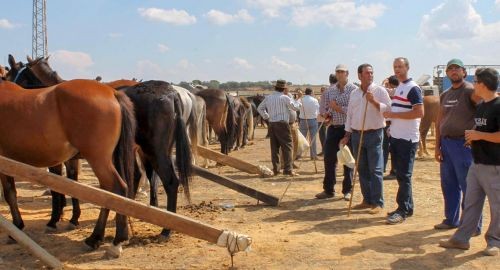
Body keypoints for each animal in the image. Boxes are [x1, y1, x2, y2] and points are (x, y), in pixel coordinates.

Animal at [0, 78, 136, 258]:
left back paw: (115, 242)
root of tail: (111, 92)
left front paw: (16, 228)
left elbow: (10, 194)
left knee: (116, 189)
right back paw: (96, 238)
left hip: (98, 159)